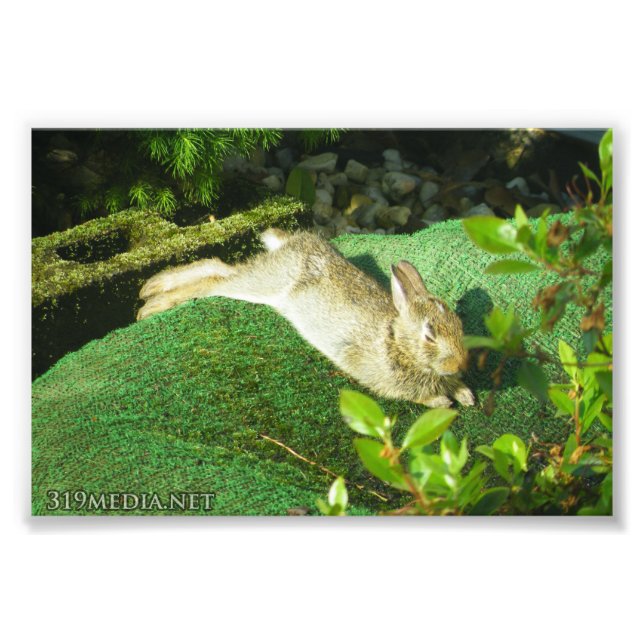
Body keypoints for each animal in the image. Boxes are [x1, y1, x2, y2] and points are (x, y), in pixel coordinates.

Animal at [137, 228, 475, 408]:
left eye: (460, 326)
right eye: (429, 335)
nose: (461, 365)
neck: (397, 343)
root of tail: (292, 241)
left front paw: (466, 396)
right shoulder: (385, 380)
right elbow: (417, 397)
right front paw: (444, 403)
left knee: (219, 268)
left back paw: (150, 290)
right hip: (265, 285)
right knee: (216, 278)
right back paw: (151, 302)